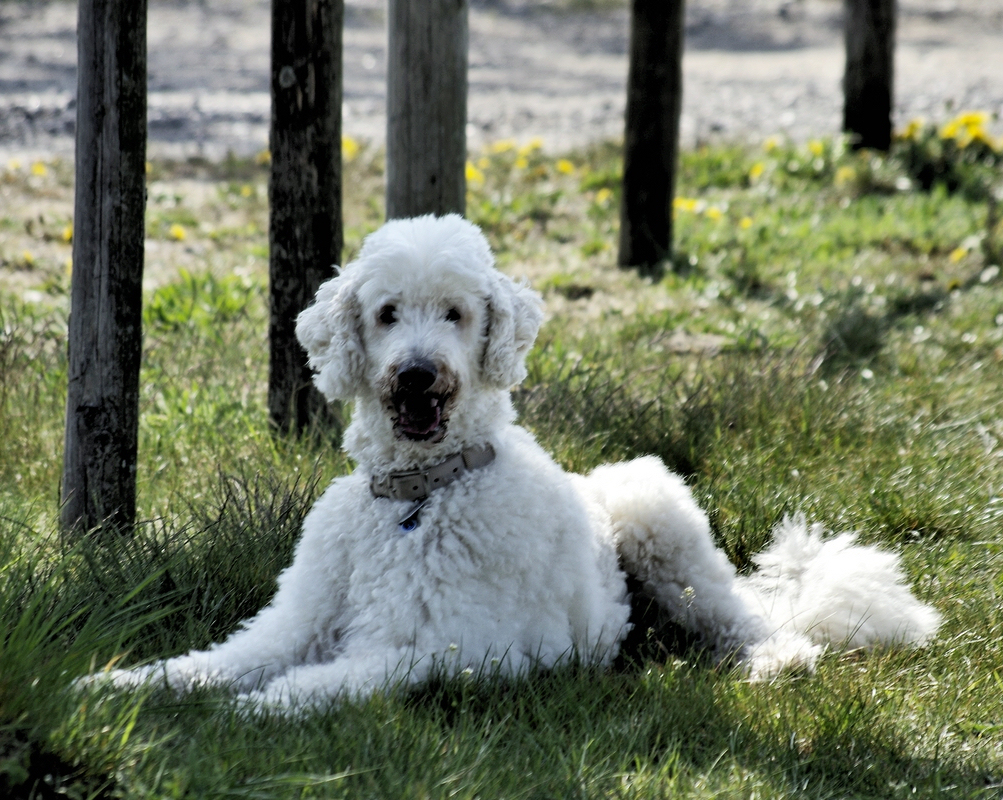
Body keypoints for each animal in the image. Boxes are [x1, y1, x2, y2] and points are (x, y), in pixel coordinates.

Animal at [92, 212, 938, 709]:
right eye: (387, 313)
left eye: (457, 314)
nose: (417, 376)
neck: (417, 496)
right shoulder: (290, 626)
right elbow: (210, 662)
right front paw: (120, 684)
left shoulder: (446, 648)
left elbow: (335, 679)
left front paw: (258, 710)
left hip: (659, 515)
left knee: (746, 621)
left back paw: (774, 661)